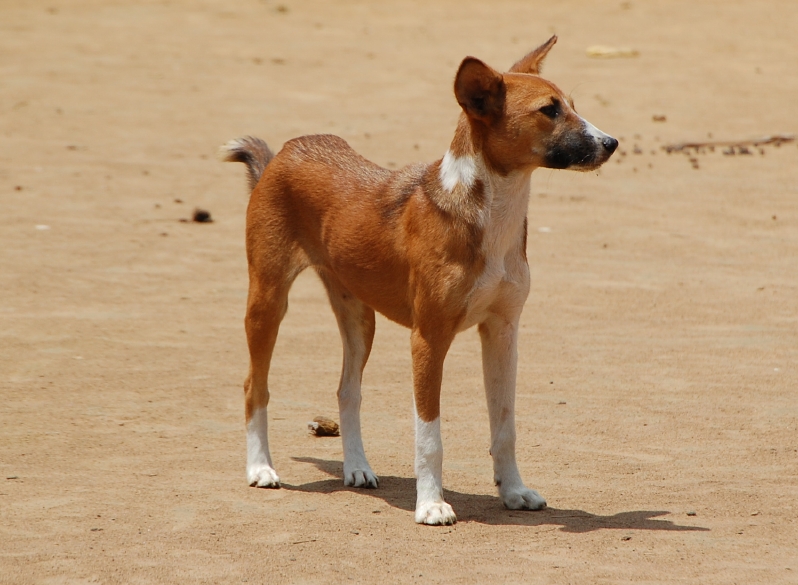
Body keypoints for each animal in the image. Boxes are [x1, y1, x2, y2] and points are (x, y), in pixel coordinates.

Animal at [222, 35, 620, 524]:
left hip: (359, 319)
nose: (612, 142)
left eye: (573, 106)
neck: (492, 216)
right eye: (549, 110)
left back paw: (356, 467)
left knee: (347, 391)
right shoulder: (428, 339)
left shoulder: (503, 332)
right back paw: (260, 467)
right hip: (268, 301)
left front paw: (513, 491)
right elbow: (430, 437)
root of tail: (285, 152)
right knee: (254, 387)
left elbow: (504, 426)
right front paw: (431, 503)